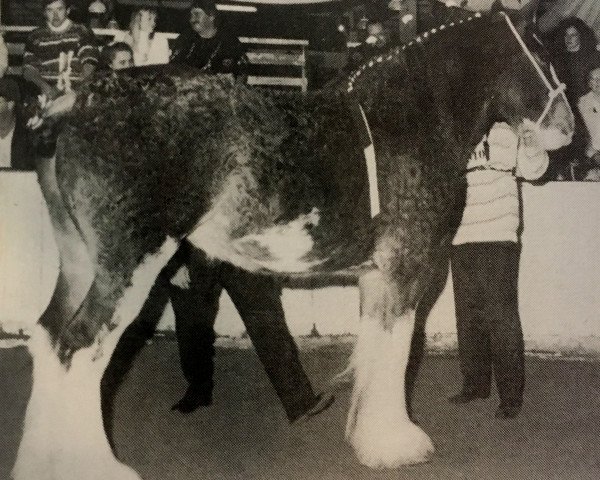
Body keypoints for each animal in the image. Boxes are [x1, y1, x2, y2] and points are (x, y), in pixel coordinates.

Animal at [12, 11, 572, 480]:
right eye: (540, 53)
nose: (567, 128)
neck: (411, 115)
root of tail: (76, 102)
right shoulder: (404, 271)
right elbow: (395, 354)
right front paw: (396, 445)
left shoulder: (376, 276)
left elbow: (375, 352)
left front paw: (370, 438)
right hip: (129, 266)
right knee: (79, 347)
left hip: (80, 263)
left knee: (48, 337)